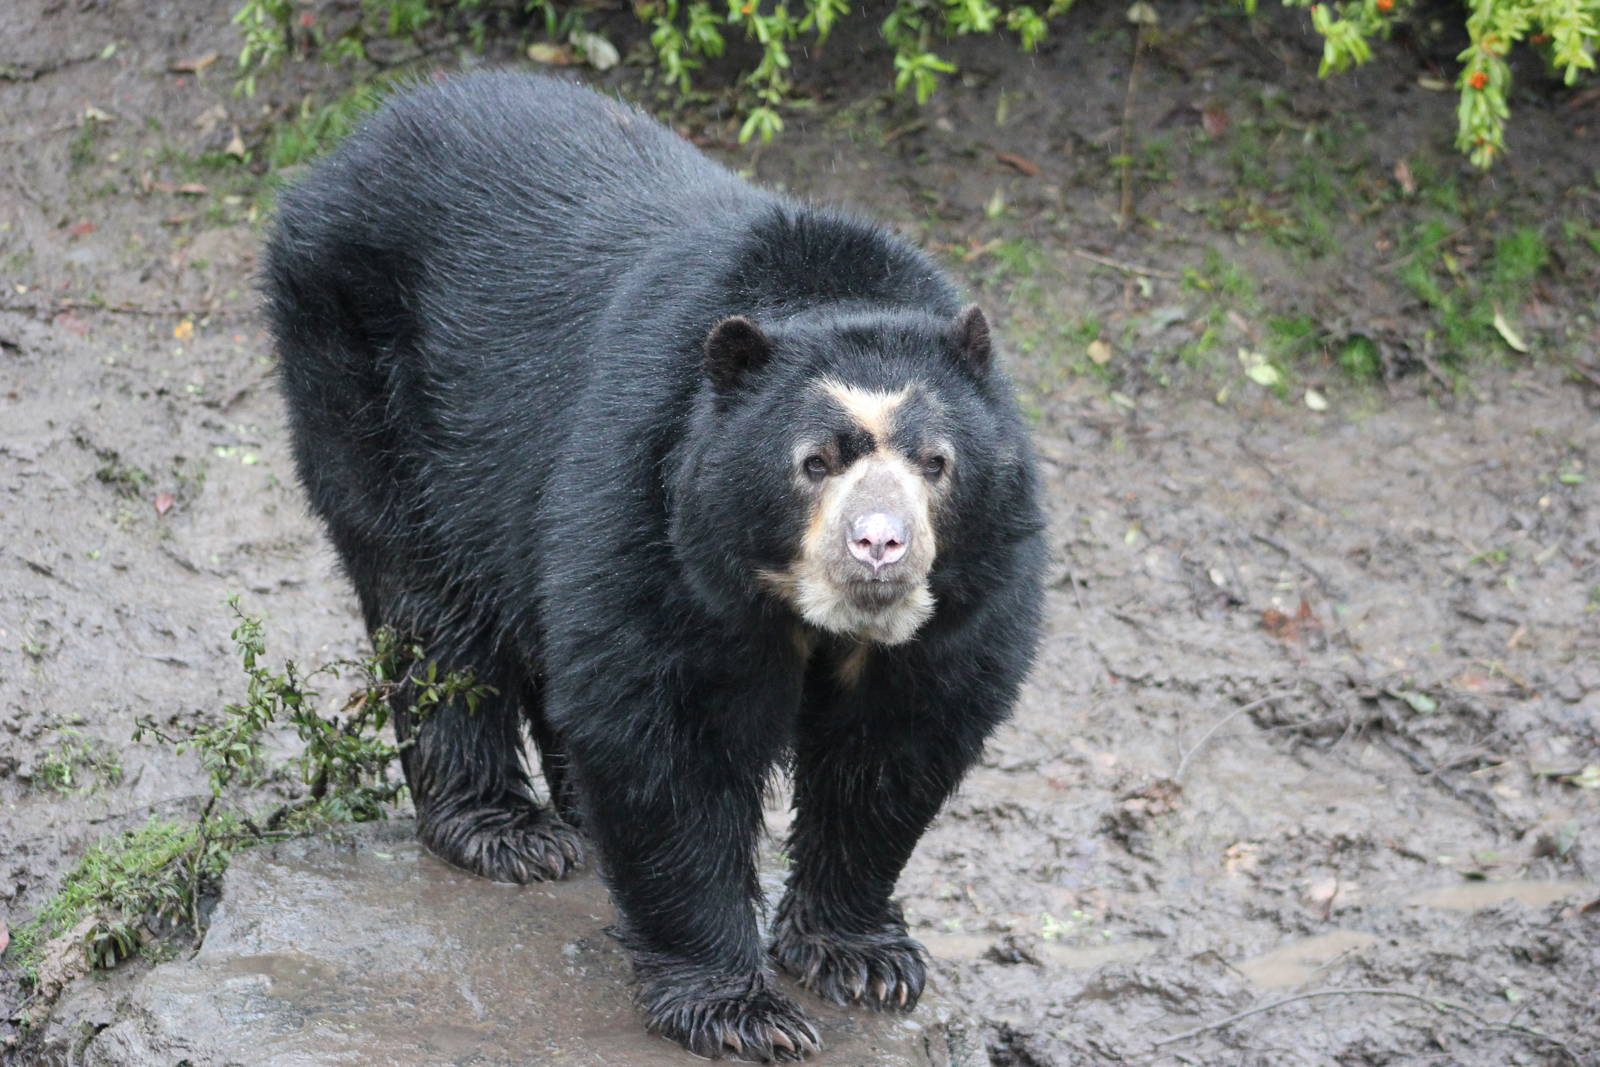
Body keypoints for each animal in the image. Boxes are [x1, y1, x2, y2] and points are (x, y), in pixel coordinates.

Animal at [265, 72, 1044, 1061]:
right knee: (429, 607)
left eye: (936, 462)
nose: (879, 545)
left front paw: (863, 960)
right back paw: (508, 831)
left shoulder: (969, 593)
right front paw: (743, 1011)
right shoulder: (651, 496)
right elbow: (664, 730)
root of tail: (354, 138)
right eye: (813, 461)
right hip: (371, 381)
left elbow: (895, 744)